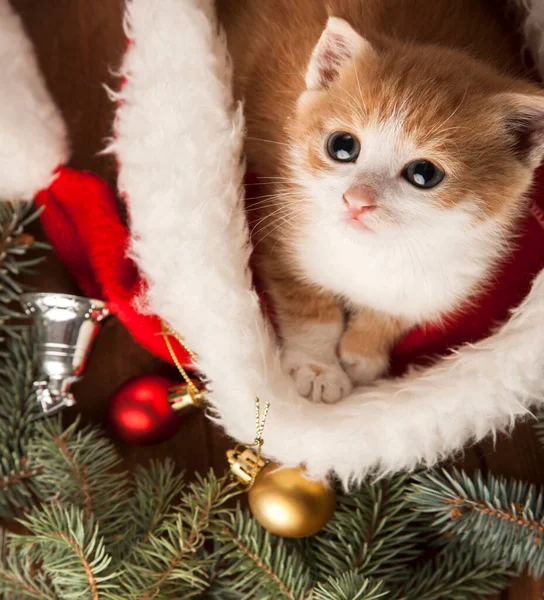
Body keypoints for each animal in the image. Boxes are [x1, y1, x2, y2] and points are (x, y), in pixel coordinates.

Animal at [217, 1, 544, 404]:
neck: (375, 251)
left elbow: (395, 311)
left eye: (424, 174)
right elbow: (306, 304)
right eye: (342, 146)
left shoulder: (450, 277)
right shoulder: (281, 221)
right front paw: (318, 367)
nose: (357, 199)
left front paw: (362, 353)